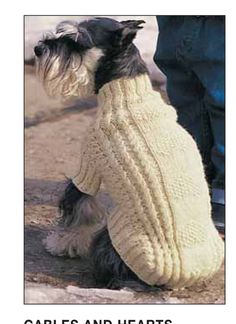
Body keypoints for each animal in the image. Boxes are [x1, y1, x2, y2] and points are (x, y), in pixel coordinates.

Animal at [34, 16, 223, 290]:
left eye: (77, 41)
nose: (38, 49)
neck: (125, 89)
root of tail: (173, 279)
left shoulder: (87, 167)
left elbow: (79, 209)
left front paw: (62, 243)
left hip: (114, 234)